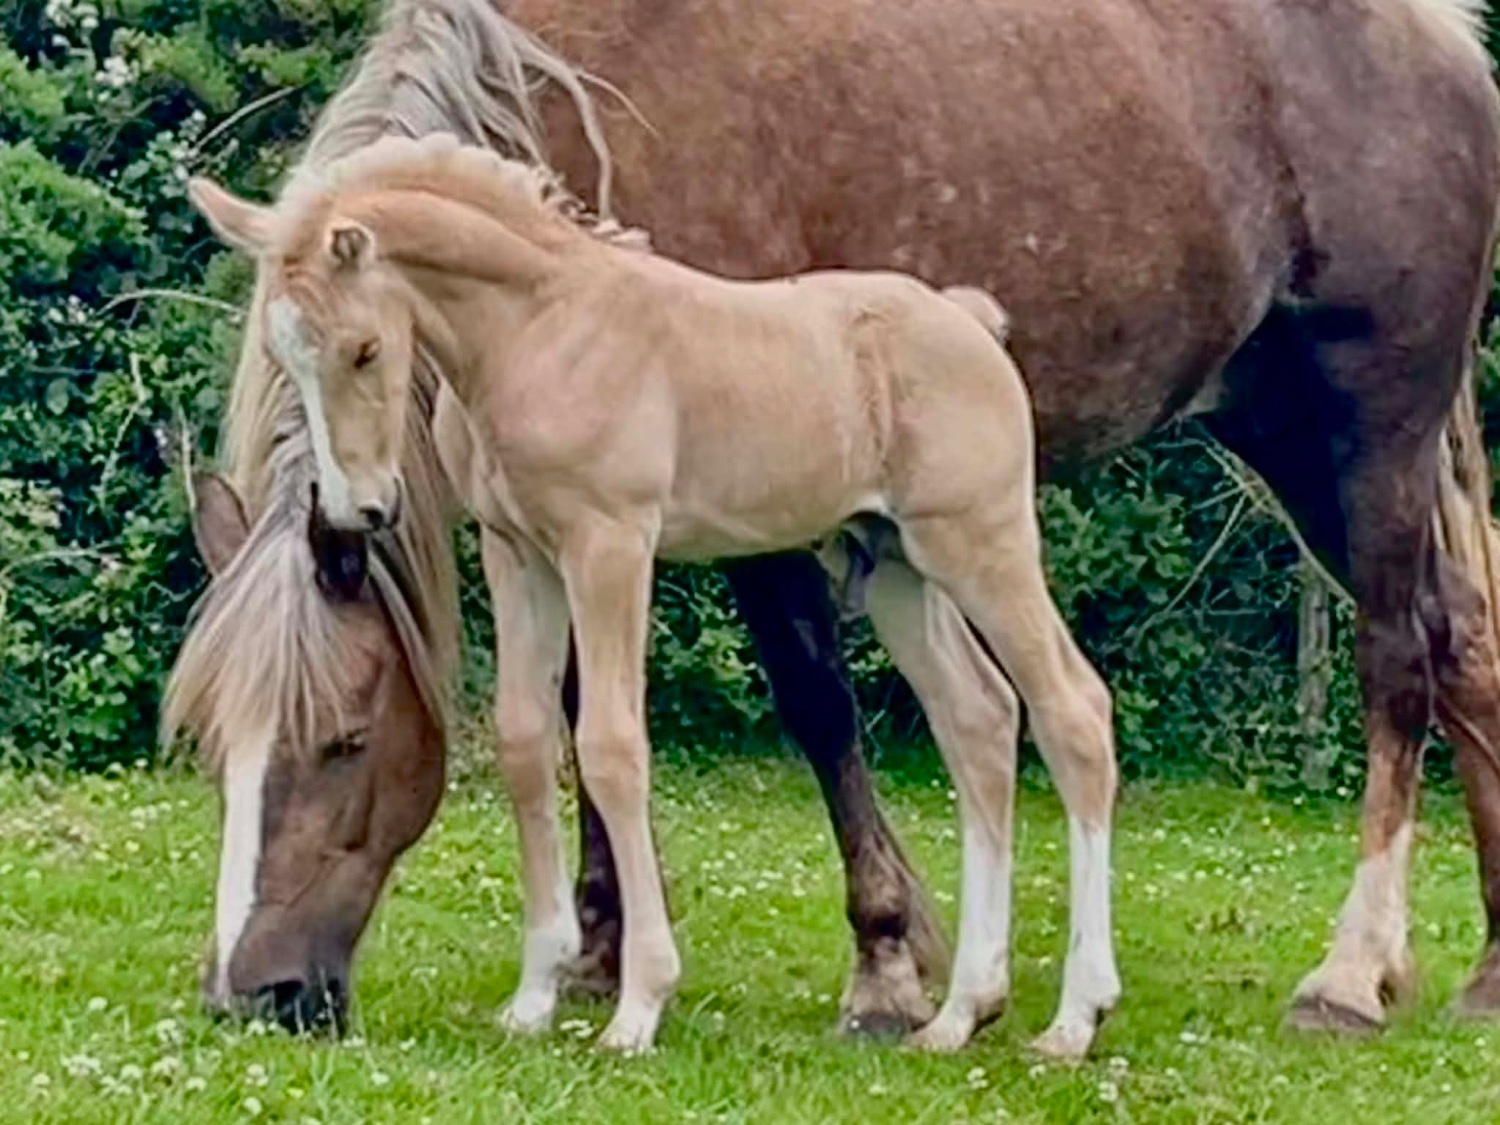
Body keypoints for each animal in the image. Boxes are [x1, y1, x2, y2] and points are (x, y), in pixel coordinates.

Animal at [172, 0, 1500, 1052]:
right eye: (210, 745)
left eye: (343, 740)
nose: (255, 995)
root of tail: (1449, 44)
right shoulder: (547, 546)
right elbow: (551, 728)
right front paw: (588, 960)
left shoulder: (690, 531)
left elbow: (793, 708)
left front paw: (874, 964)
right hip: (1271, 432)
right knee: (1458, 646)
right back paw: (1477, 977)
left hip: (1364, 429)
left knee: (1385, 662)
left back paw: (1339, 978)